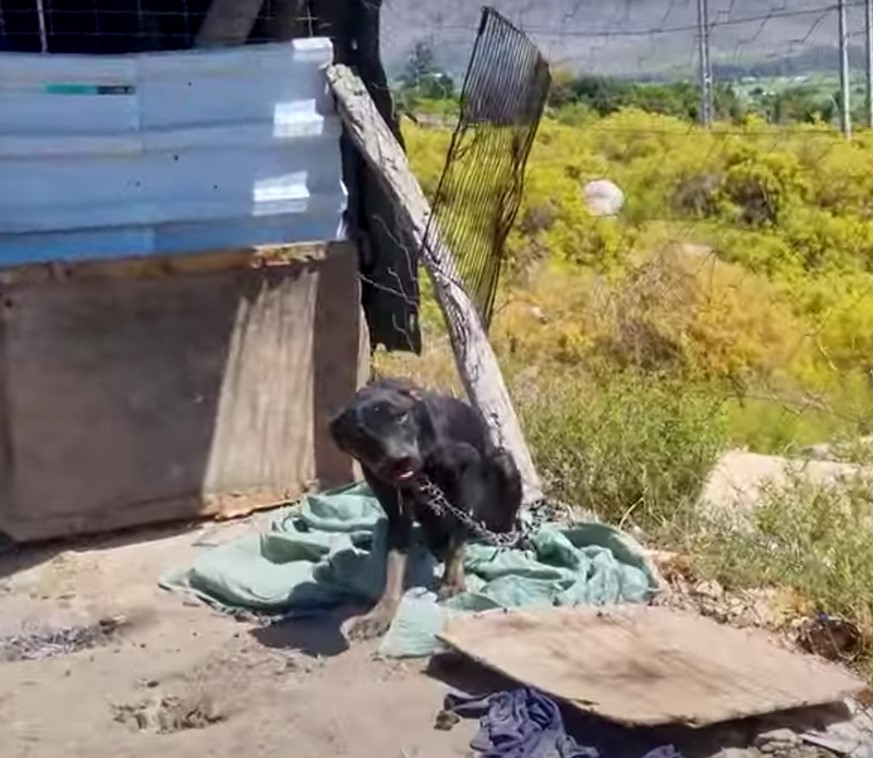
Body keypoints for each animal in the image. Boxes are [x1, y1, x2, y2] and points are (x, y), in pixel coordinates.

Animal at [326, 378, 516, 640]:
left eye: (401, 417)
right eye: (361, 433)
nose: (401, 460)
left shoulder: (467, 469)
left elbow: (458, 539)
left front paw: (452, 581)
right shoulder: (393, 507)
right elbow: (394, 565)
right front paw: (380, 614)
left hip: (503, 464)